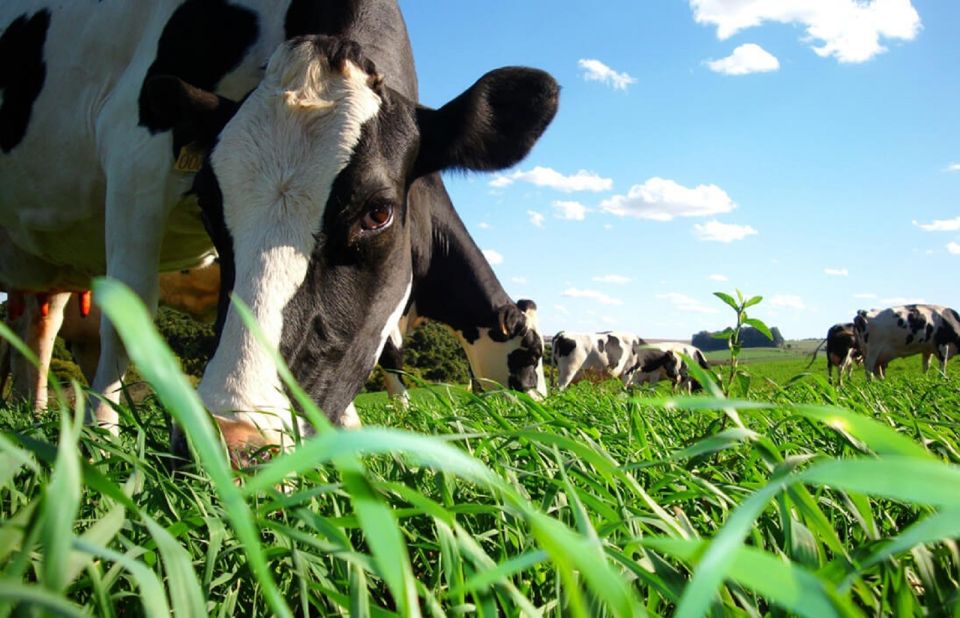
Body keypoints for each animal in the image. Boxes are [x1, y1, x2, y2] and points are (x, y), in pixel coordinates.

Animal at [0, 0, 560, 458]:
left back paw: (30, 410)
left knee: (37, 327)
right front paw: (101, 435)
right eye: (208, 204)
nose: (230, 442)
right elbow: (128, 310)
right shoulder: (134, 156)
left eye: (377, 212)